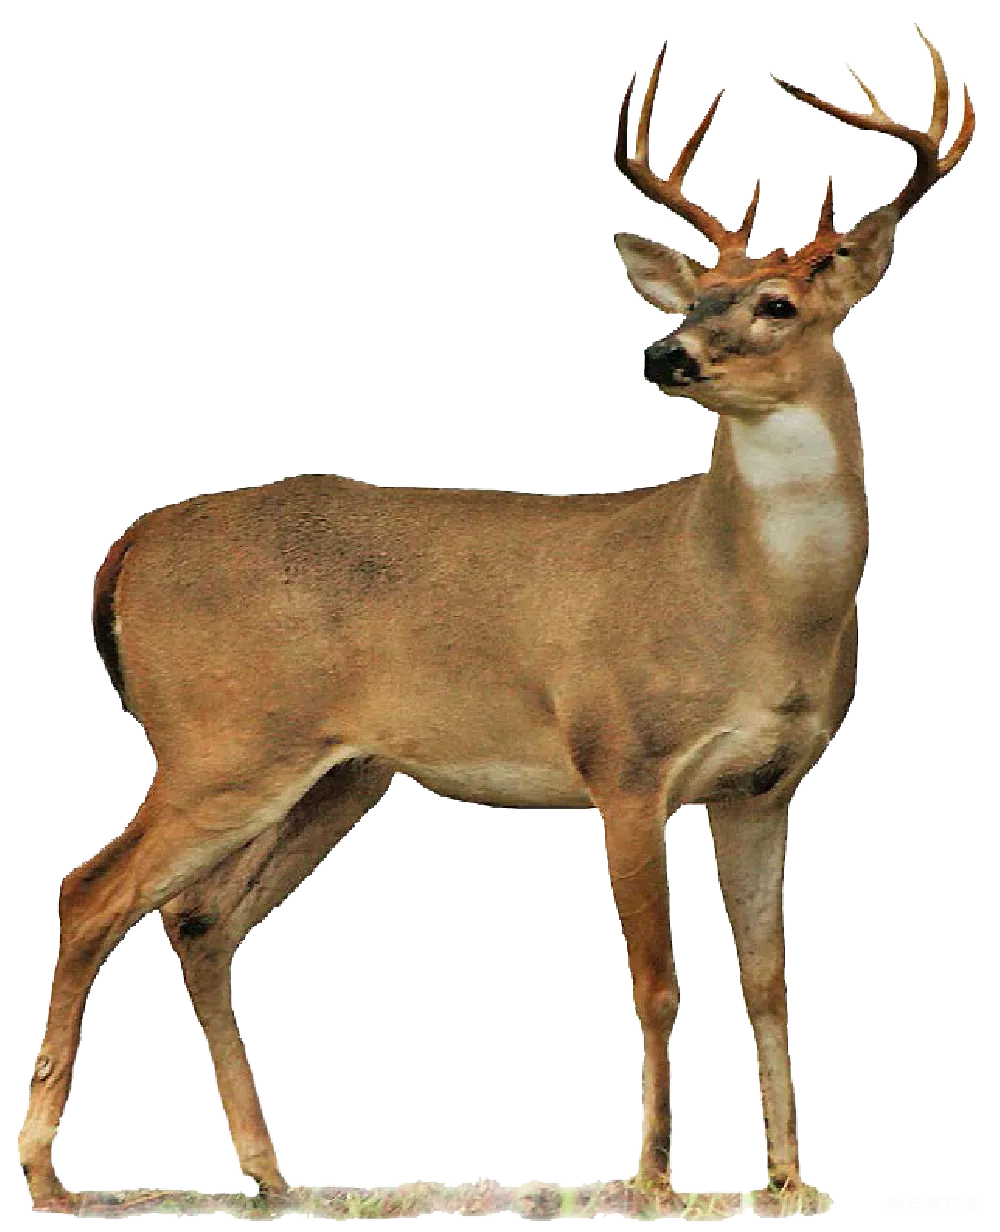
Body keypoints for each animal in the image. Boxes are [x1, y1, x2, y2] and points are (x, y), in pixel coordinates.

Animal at [19, 24, 973, 1214]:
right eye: (687, 298)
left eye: (775, 305)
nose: (663, 354)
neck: (749, 602)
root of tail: (128, 548)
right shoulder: (623, 758)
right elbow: (658, 980)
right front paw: (652, 1177)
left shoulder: (764, 784)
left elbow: (767, 979)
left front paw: (789, 1179)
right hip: (221, 738)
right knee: (90, 891)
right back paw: (48, 1170)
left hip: (337, 772)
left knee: (195, 919)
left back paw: (270, 1171)